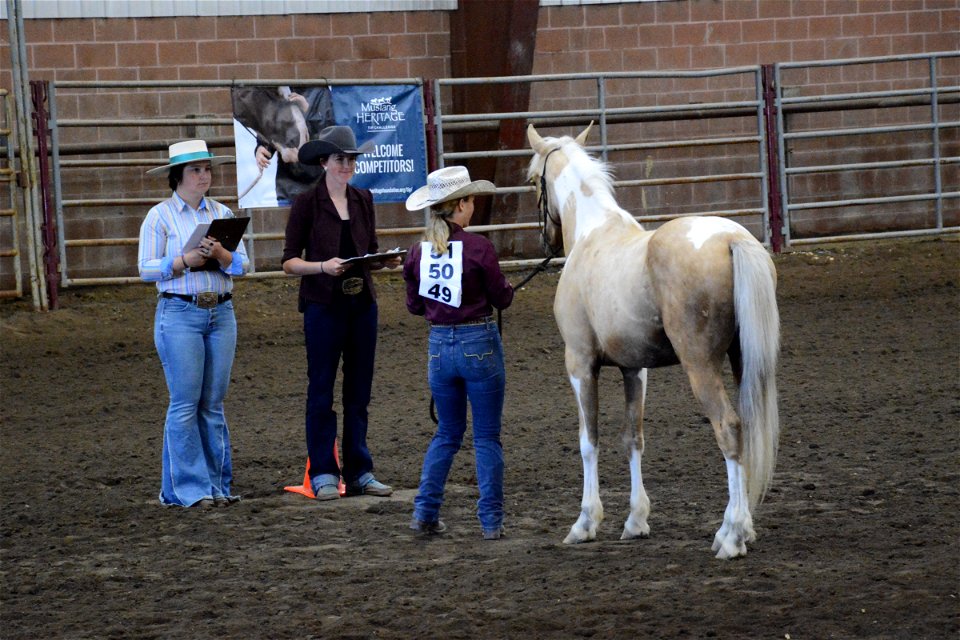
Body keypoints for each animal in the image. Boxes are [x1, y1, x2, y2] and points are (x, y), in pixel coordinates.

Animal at [524, 122, 780, 556]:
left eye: (530, 181)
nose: (545, 239)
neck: (594, 234)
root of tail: (732, 239)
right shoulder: (635, 369)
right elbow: (633, 438)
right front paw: (636, 520)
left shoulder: (579, 364)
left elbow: (588, 440)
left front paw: (585, 522)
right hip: (743, 361)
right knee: (745, 425)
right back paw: (742, 528)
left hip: (700, 365)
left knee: (728, 428)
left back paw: (730, 536)